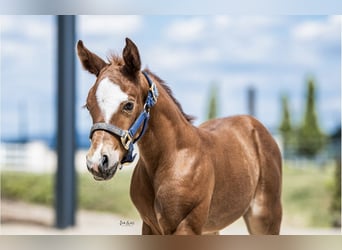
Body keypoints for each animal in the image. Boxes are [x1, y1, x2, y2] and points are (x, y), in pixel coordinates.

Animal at [78, 37, 284, 234]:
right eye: (88, 105)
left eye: (128, 105)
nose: (97, 162)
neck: (171, 157)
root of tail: (253, 123)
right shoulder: (150, 226)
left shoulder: (186, 226)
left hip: (265, 219)